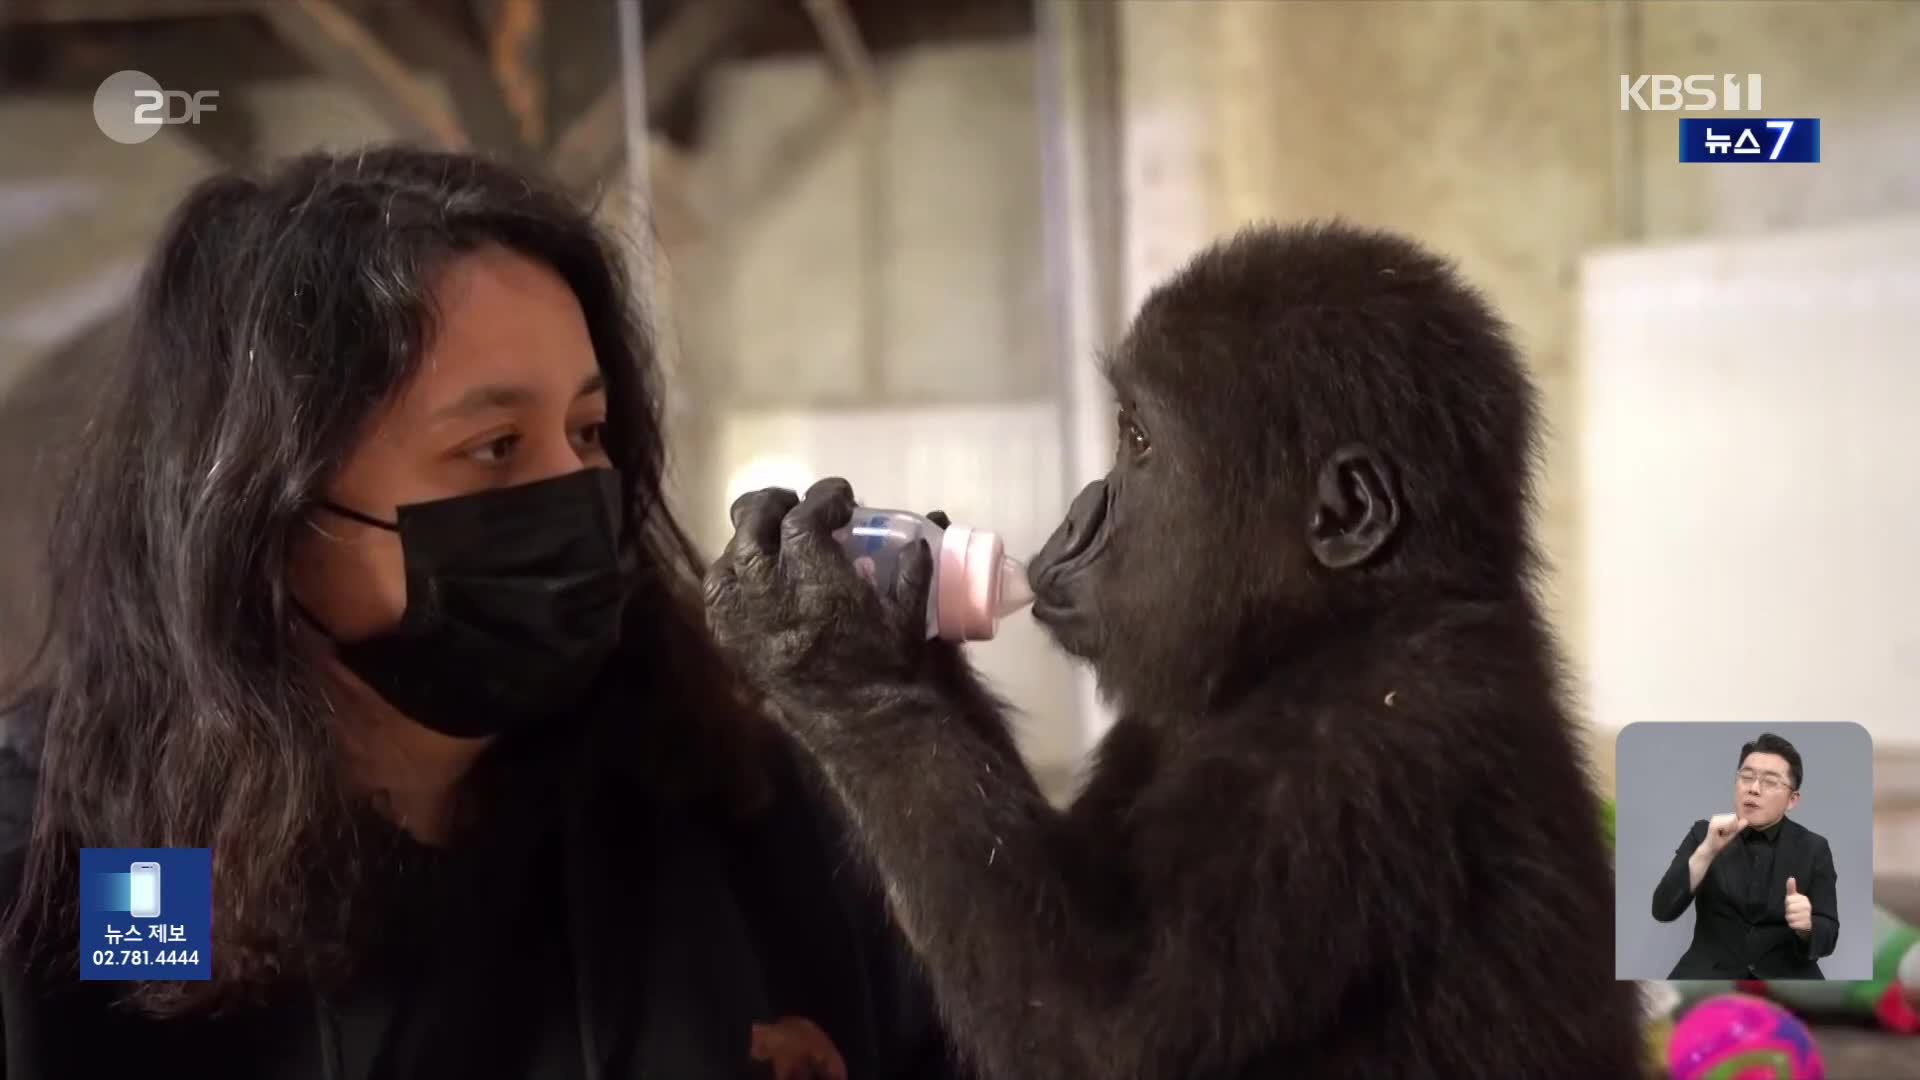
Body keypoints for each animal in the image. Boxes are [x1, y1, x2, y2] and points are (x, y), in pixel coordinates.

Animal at [706, 219, 1651, 1076]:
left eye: (1139, 440)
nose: (1077, 516)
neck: (1316, 635)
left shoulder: (1362, 748)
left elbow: (1103, 1036)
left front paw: (825, 645)